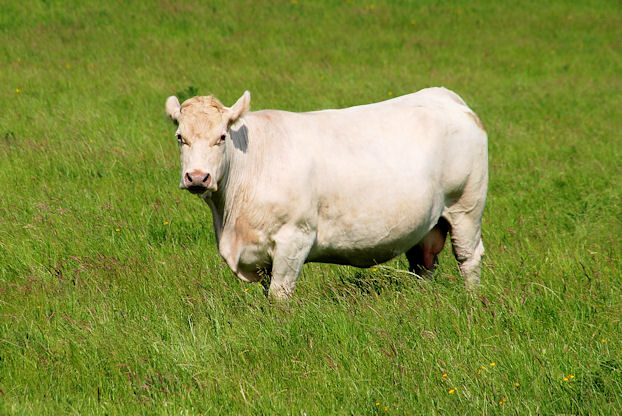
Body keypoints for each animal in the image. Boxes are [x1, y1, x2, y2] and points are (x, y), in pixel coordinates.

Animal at [166, 88, 488, 300]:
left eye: (221, 137)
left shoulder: (294, 237)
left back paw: (471, 300)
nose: (197, 177)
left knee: (468, 258)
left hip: (466, 207)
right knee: (424, 263)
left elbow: (279, 295)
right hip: (427, 225)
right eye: (180, 137)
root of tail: (444, 96)